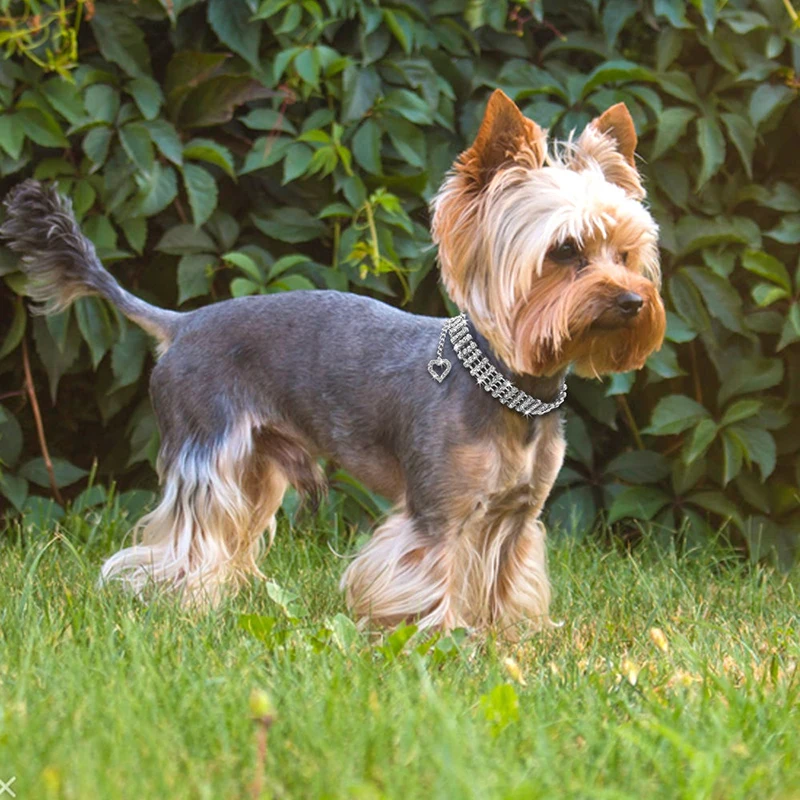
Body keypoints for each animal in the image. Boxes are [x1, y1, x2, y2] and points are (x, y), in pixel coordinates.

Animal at [0, 92, 664, 632]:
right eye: (565, 251)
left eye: (627, 253)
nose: (634, 301)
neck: (510, 387)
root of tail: (181, 324)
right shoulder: (437, 512)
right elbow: (430, 577)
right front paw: (443, 642)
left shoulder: (517, 517)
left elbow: (503, 581)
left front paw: (511, 640)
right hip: (208, 448)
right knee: (189, 535)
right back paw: (182, 601)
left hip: (257, 464)